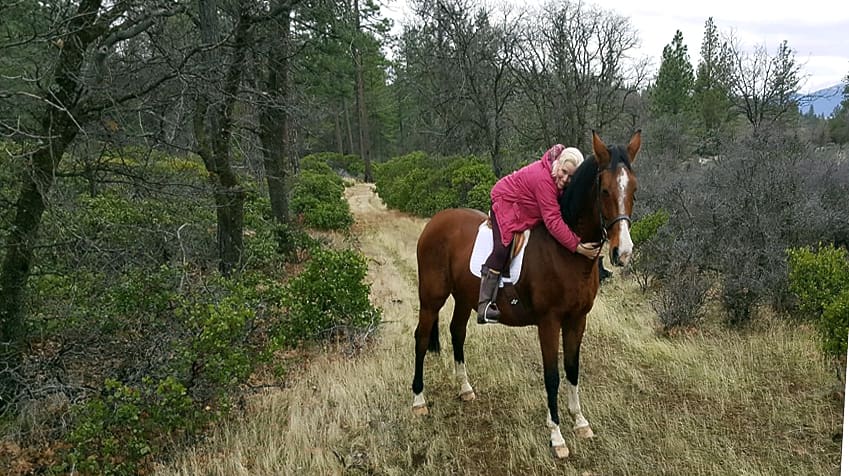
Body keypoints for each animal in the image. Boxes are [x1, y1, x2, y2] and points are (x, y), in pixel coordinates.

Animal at [412, 130, 644, 458]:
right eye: (605, 191)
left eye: (633, 189)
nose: (622, 252)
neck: (565, 252)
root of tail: (435, 221)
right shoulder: (549, 323)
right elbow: (552, 376)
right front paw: (557, 436)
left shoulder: (577, 321)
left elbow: (572, 369)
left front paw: (580, 422)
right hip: (431, 298)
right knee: (421, 338)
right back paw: (418, 400)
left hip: (465, 298)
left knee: (457, 332)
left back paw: (465, 388)